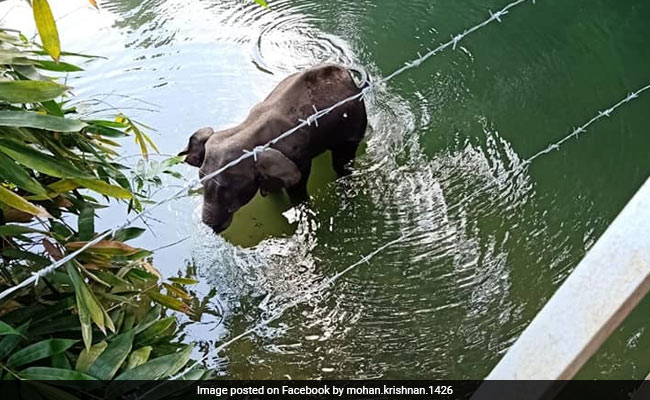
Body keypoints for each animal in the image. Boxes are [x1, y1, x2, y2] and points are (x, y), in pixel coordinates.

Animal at [179, 64, 369, 233]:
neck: (246, 129)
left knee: (342, 161)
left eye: (227, 188)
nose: (212, 227)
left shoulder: (298, 157)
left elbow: (298, 186)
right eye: (201, 179)